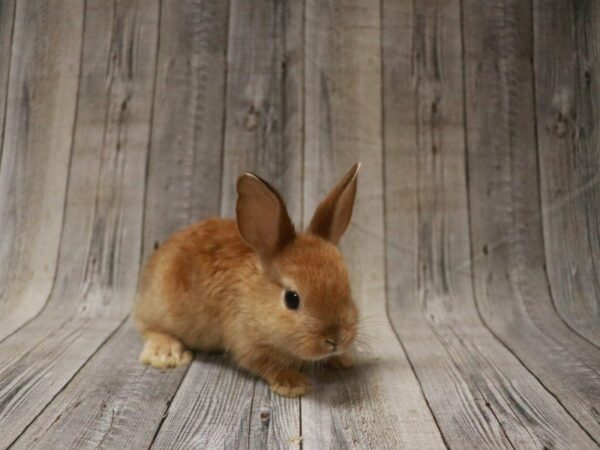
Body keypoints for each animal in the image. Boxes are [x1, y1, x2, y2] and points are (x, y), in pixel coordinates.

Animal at [135, 163, 360, 396]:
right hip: (160, 308)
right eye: (292, 299)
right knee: (148, 326)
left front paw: (344, 359)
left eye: (348, 290)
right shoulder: (246, 342)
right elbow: (266, 364)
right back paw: (166, 354)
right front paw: (293, 384)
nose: (335, 340)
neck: (254, 295)